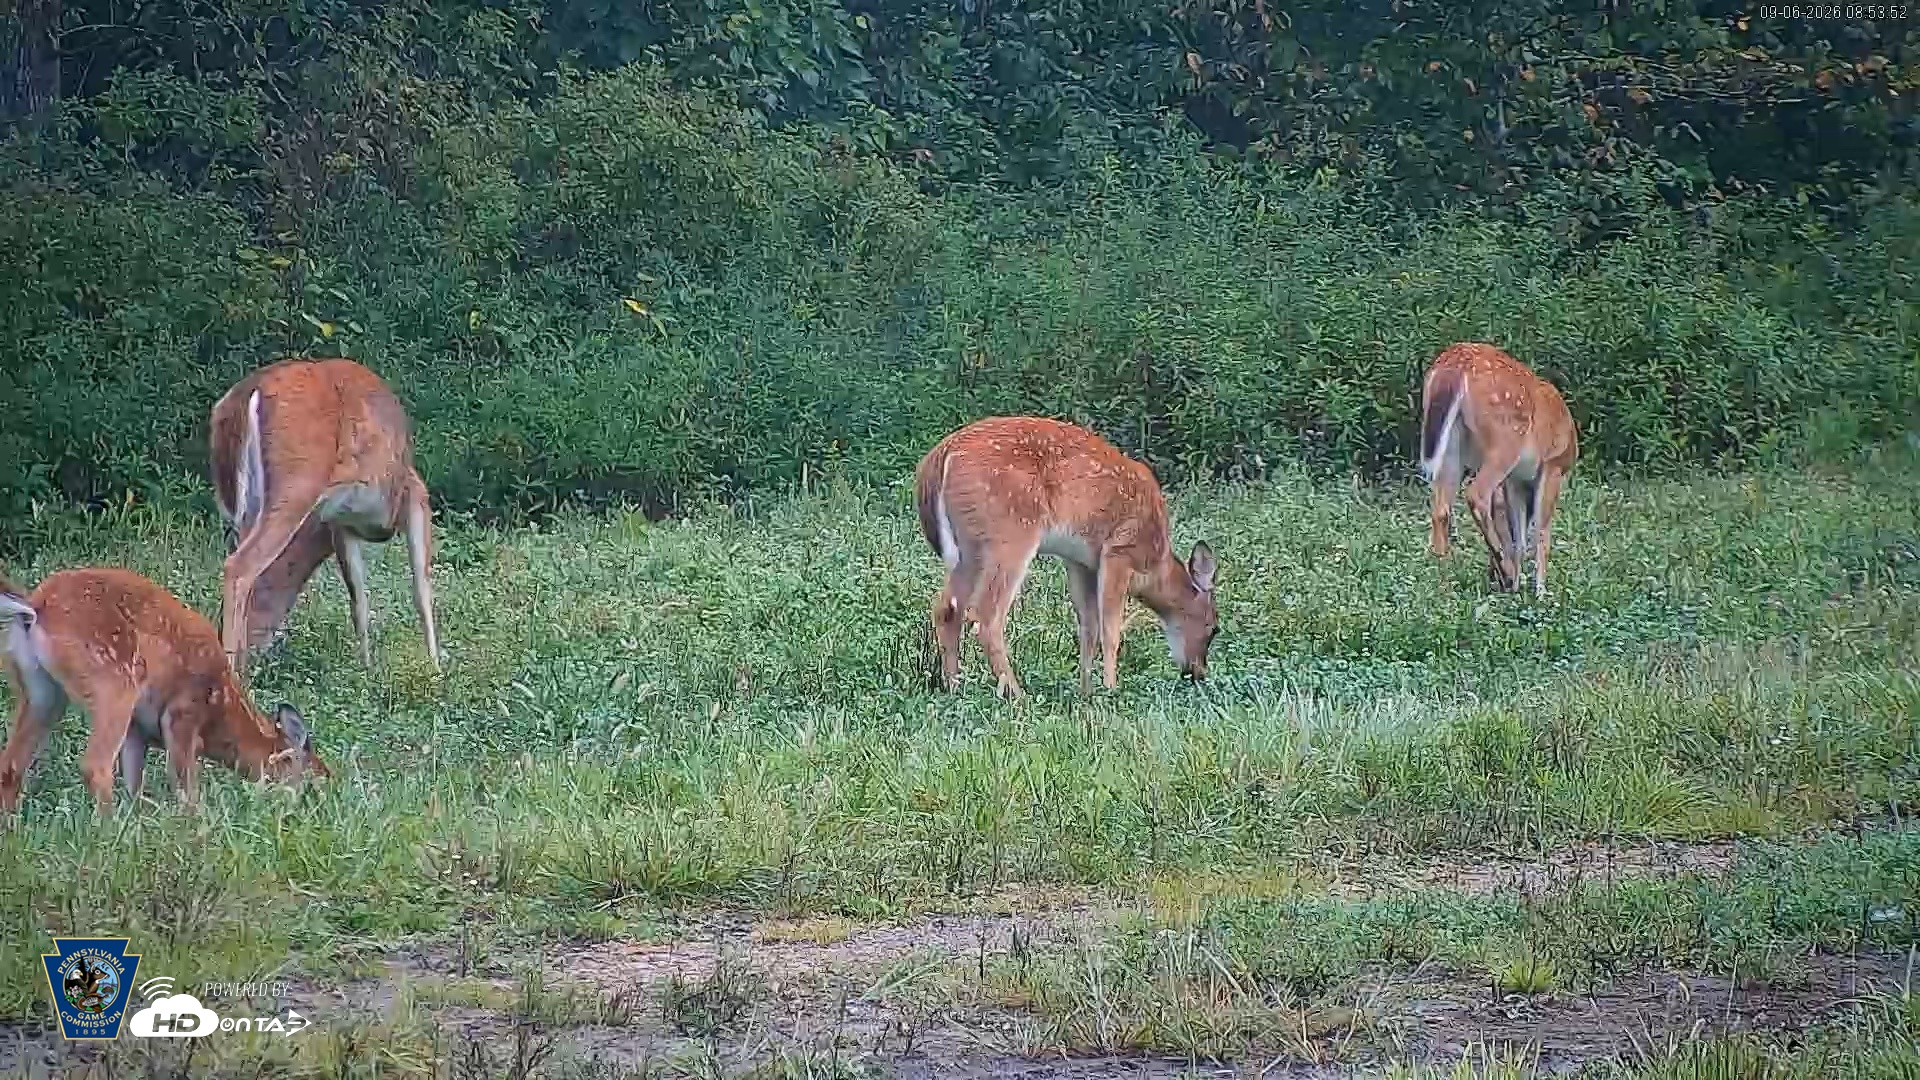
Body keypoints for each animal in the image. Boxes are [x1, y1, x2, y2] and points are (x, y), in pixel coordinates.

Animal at [0, 567, 327, 814]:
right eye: (316, 778)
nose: (319, 804)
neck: (220, 714)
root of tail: (37, 607)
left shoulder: (137, 730)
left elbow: (134, 784)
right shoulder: (182, 713)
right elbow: (185, 786)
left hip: (39, 691)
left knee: (11, 764)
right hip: (114, 683)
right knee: (95, 766)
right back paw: (109, 830)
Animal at [209, 357, 441, 679]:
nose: (255, 647)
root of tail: (248, 393)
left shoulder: (339, 522)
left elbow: (358, 598)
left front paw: (366, 671)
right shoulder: (415, 492)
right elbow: (421, 587)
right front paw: (436, 669)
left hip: (244, 504)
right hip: (296, 483)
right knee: (240, 566)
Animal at [915, 416, 1218, 700]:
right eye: (1213, 628)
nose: (1197, 673)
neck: (1155, 564)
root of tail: (940, 456)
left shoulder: (1080, 562)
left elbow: (1089, 627)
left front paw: (1087, 692)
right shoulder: (1119, 551)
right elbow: (1111, 631)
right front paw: (1111, 689)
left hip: (969, 550)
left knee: (947, 608)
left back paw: (954, 688)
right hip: (1010, 535)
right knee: (986, 615)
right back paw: (1018, 695)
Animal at [1418, 342, 1579, 597]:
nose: (1493, 578)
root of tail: (1455, 363)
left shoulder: (1516, 481)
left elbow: (1519, 535)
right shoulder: (1553, 465)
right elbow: (1541, 533)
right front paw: (1540, 592)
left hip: (1453, 446)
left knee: (1441, 508)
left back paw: (1443, 580)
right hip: (1505, 440)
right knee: (1476, 493)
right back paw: (1504, 567)